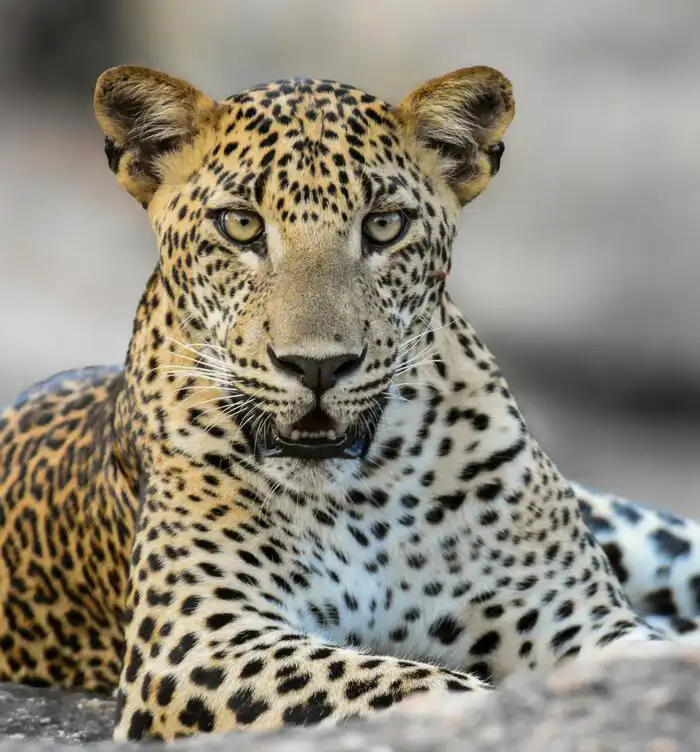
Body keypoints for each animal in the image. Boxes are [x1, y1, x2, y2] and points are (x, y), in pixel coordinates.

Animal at [1, 63, 700, 742]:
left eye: (384, 226)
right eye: (241, 224)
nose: (318, 365)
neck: (366, 493)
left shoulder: (576, 614)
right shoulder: (196, 642)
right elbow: (420, 685)